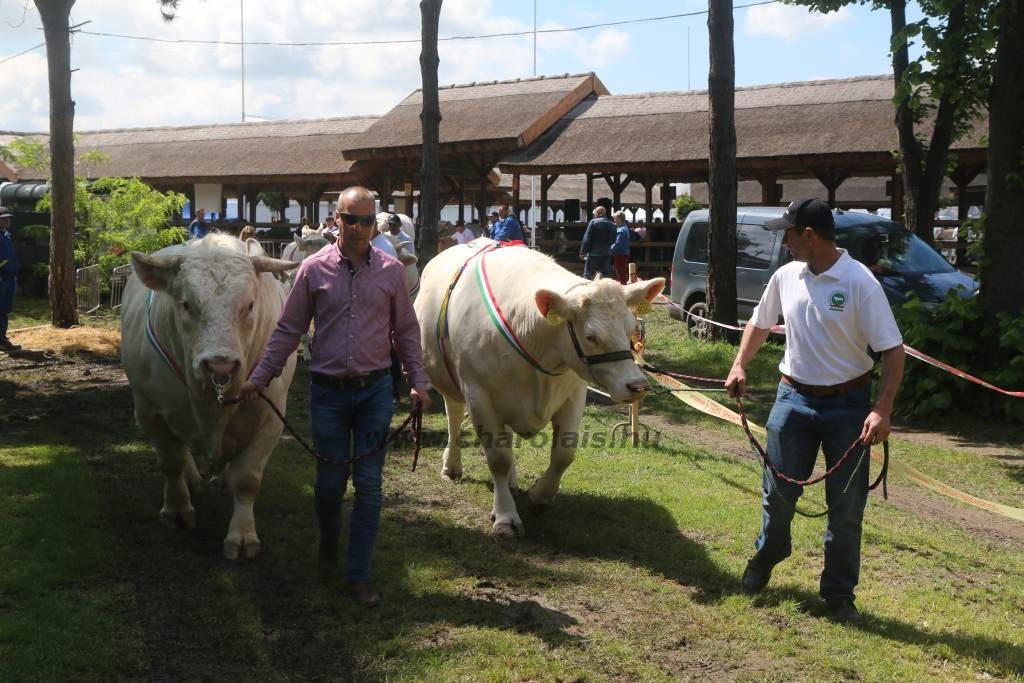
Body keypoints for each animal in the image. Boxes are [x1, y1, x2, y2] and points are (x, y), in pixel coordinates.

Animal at [120, 235, 299, 561]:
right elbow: (170, 462)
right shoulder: (148, 411)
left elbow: (247, 480)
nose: (220, 365)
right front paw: (177, 509)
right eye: (186, 304)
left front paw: (242, 534)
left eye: (249, 304)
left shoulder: (271, 418)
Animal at [415, 242, 663, 536]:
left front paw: (538, 495)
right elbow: (497, 458)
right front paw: (506, 516)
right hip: (449, 380)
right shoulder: (479, 397)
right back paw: (452, 466)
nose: (637, 385)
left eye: (631, 328)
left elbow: (563, 455)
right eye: (590, 336)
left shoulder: (573, 395)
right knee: (454, 420)